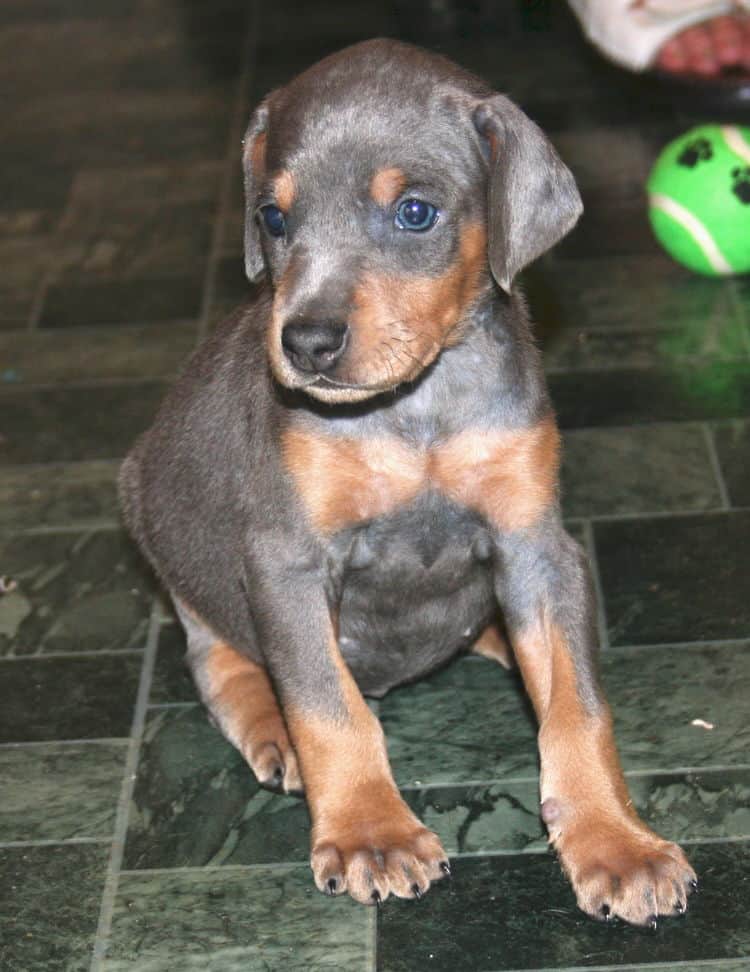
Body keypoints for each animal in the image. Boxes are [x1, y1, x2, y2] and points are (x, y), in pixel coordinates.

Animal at [117, 39, 700, 928]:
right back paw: (272, 727)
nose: (306, 343)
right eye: (274, 219)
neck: (418, 407)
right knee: (219, 655)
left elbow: (577, 707)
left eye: (415, 213)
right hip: (158, 512)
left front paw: (616, 841)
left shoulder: (536, 546)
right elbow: (328, 706)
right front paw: (370, 832)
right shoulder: (286, 561)